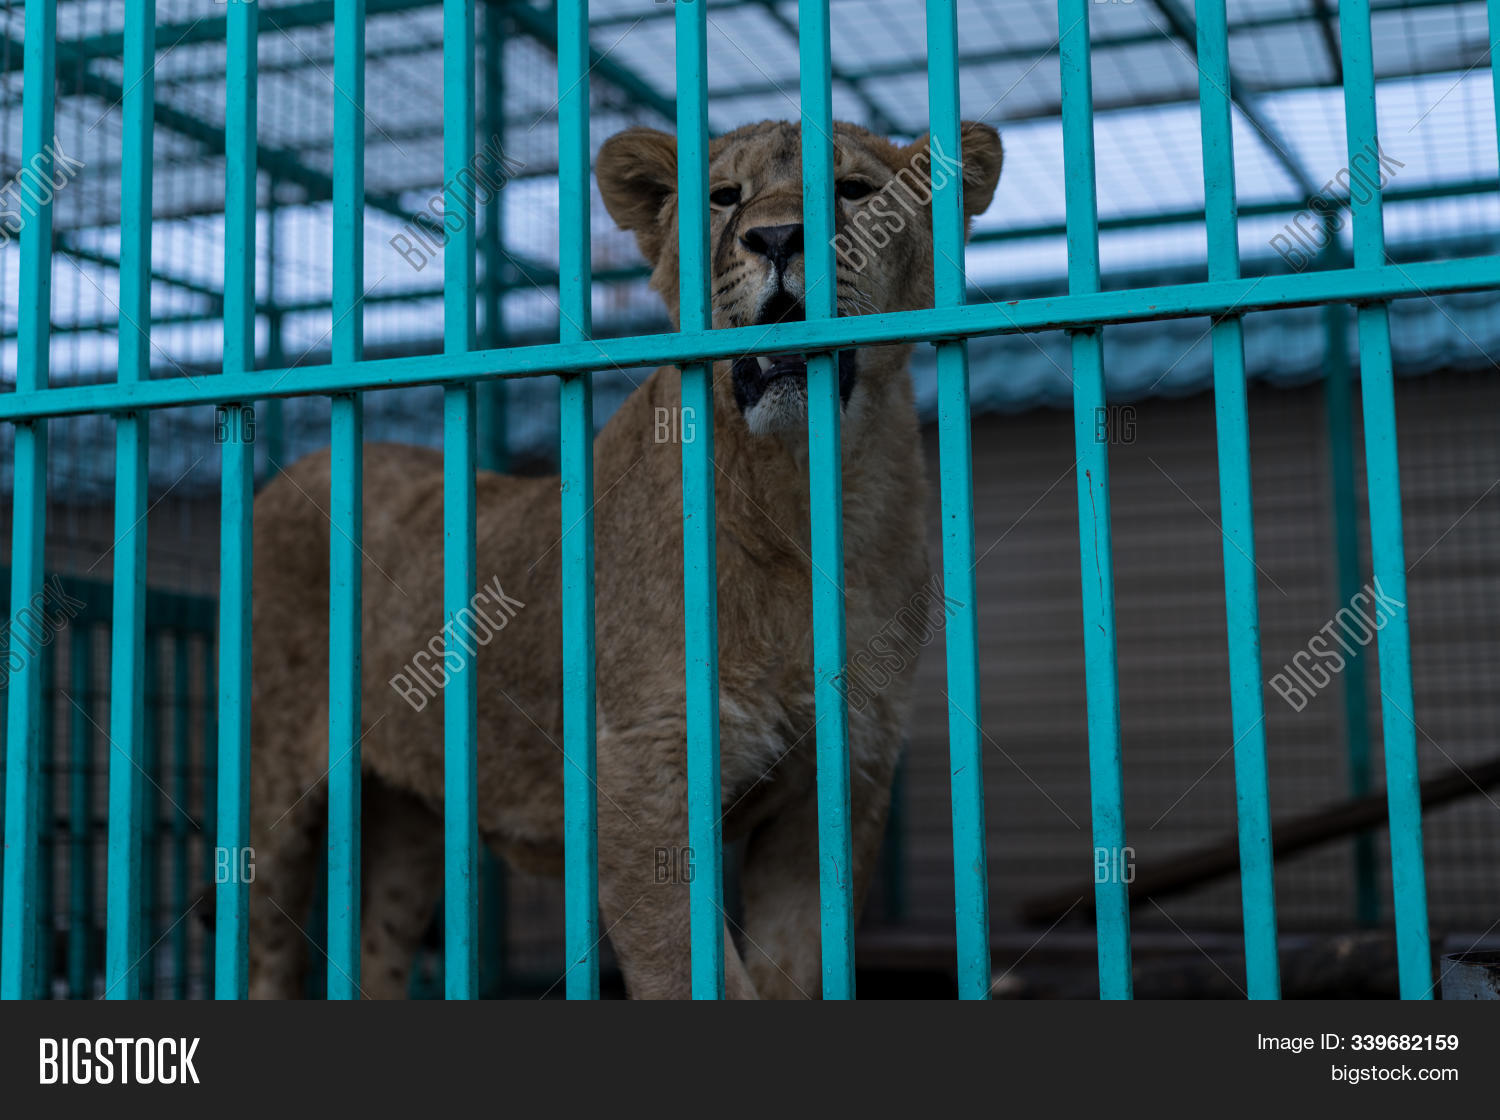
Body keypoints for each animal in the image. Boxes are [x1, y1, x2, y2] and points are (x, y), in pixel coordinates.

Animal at [244, 118, 1003, 998]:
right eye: (724, 197)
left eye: (854, 189)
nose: (779, 238)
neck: (803, 493)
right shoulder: (646, 769)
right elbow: (691, 972)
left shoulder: (838, 783)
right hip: (276, 796)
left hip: (413, 819)